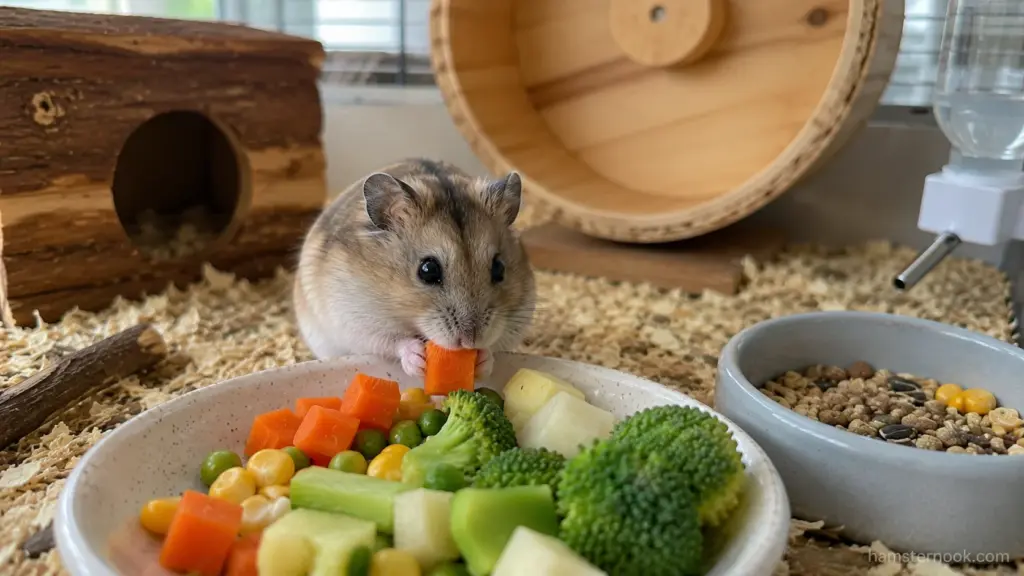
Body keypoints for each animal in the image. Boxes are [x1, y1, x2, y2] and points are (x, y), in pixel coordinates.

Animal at [292, 158, 537, 378]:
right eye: (428, 270)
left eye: (499, 268)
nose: (470, 341)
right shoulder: (354, 318)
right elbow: (393, 341)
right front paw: (417, 359)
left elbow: (495, 346)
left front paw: (482, 360)